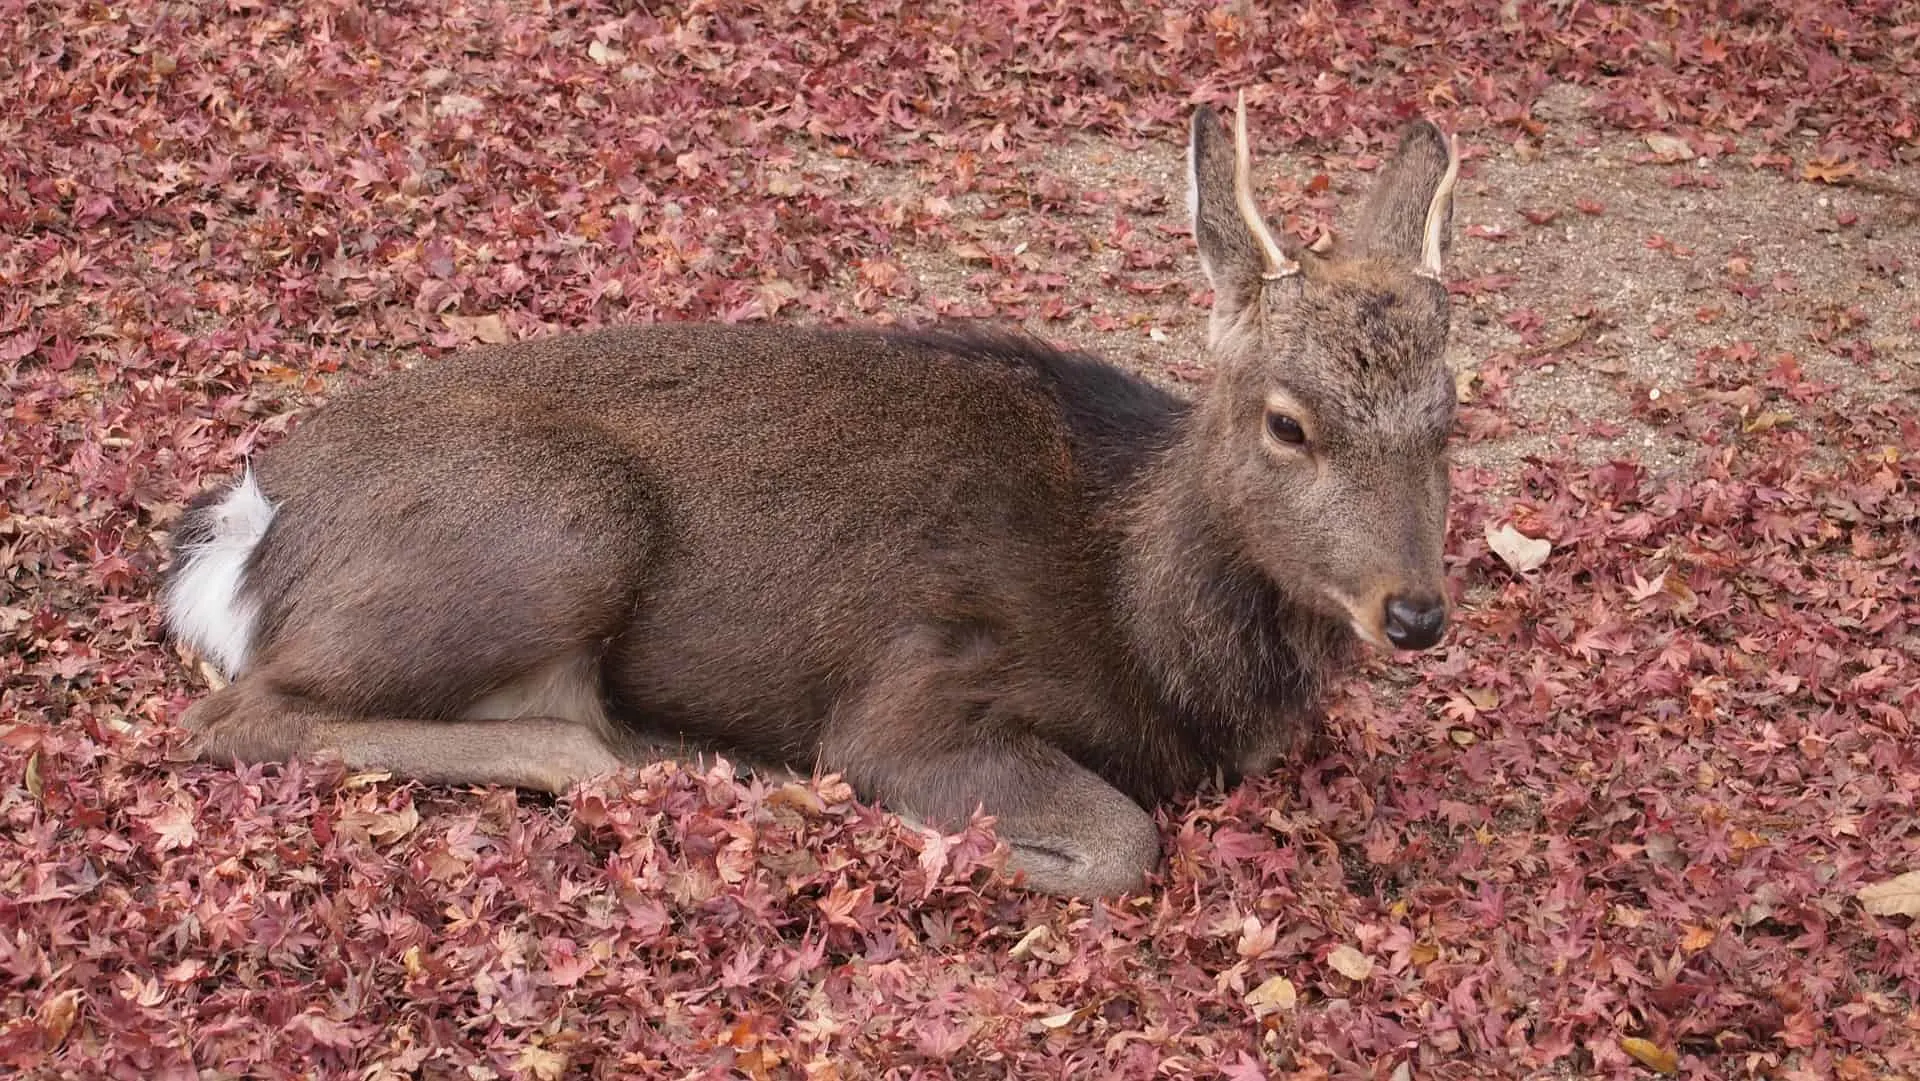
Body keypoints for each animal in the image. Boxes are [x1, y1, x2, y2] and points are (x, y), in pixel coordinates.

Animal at [168, 99, 1451, 898]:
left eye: (1451, 414)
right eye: (1288, 421)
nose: (1416, 611)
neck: (1134, 617)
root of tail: (240, 526)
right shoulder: (918, 686)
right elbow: (1119, 842)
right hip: (564, 521)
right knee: (242, 716)